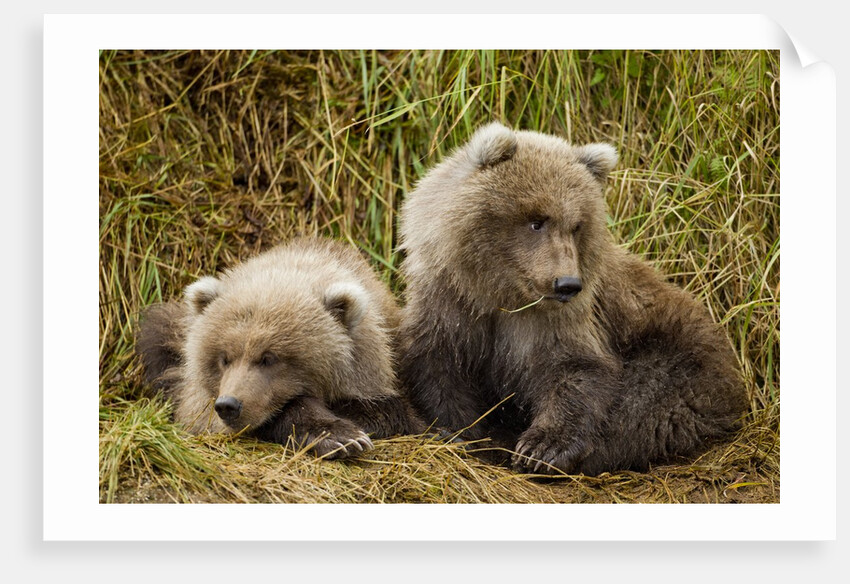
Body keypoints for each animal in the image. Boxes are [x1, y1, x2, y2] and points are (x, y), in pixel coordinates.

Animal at [136, 237, 424, 459]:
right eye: (224, 358)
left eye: (268, 358)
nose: (229, 405)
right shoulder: (199, 403)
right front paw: (341, 437)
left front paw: (346, 435)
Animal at [396, 122, 748, 475]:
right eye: (536, 221)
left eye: (576, 226)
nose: (567, 283)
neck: (501, 292)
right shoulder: (450, 301)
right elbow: (438, 365)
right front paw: (461, 432)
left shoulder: (562, 318)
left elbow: (575, 368)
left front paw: (541, 448)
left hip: (681, 353)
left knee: (647, 403)